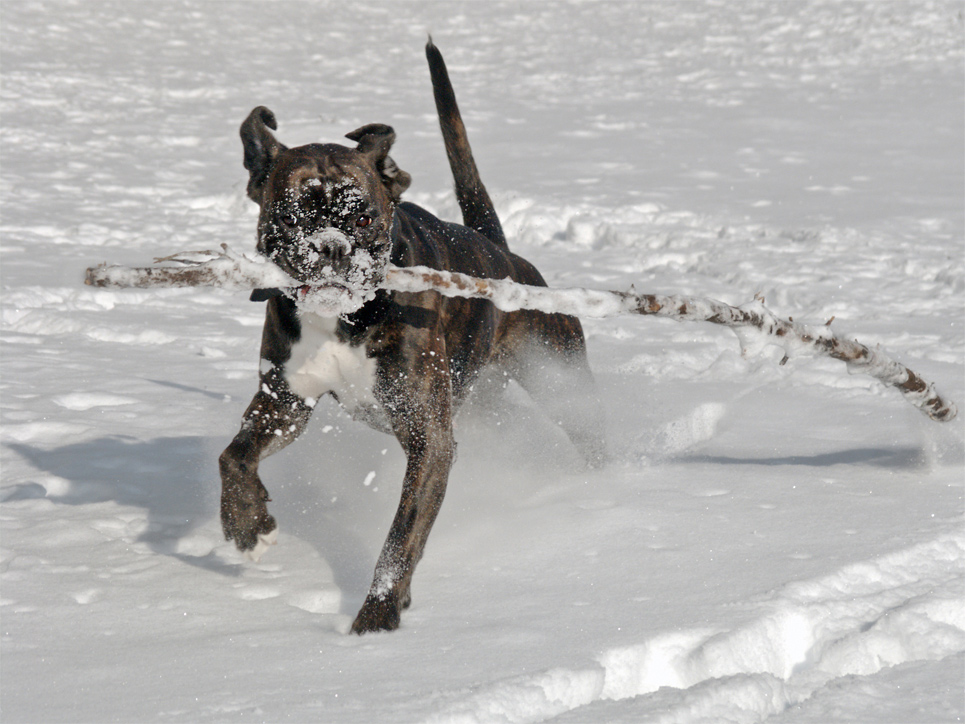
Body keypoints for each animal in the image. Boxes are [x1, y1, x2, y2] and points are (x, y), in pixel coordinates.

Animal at [222, 41, 608, 632]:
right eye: (291, 217)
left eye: (362, 218)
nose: (331, 248)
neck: (345, 319)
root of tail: (503, 255)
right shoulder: (284, 403)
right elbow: (234, 456)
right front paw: (246, 526)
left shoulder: (429, 438)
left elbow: (400, 539)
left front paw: (378, 615)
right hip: (484, 402)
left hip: (555, 376)